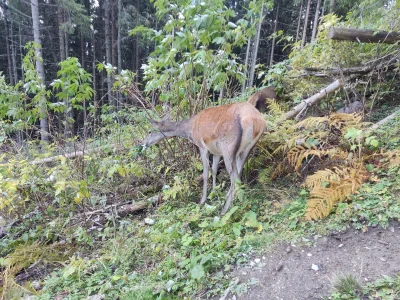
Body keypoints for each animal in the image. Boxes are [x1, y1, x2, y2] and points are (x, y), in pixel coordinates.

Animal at [142, 88, 276, 214]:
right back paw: (237, 201)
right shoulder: (216, 152)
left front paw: (203, 200)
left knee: (234, 177)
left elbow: (206, 173)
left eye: (149, 131)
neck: (190, 130)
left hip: (228, 147)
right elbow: (214, 170)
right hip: (247, 148)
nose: (142, 143)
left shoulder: (202, 146)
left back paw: (225, 209)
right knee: (239, 174)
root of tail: (256, 121)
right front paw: (214, 193)